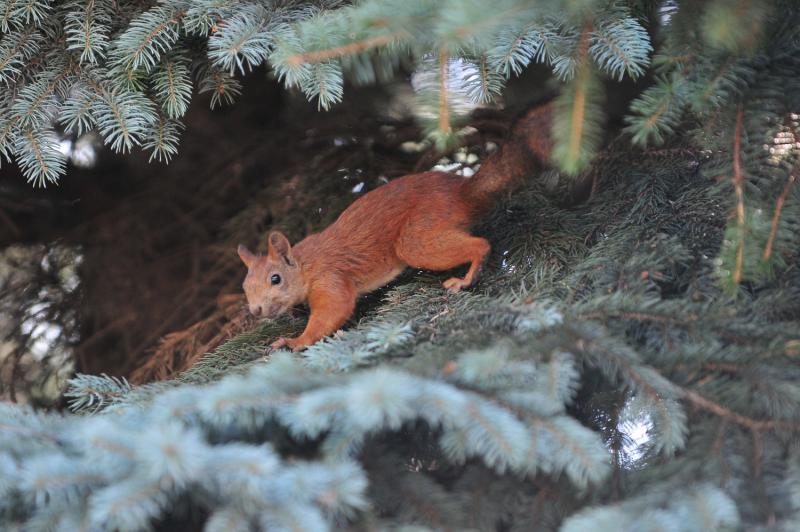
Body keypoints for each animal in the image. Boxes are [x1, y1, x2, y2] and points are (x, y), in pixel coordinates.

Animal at [238, 104, 552, 354]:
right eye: (245, 287)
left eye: (276, 279)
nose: (255, 310)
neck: (305, 265)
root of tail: (463, 192)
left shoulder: (330, 278)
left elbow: (333, 311)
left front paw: (294, 341)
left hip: (417, 239)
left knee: (479, 244)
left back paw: (465, 279)